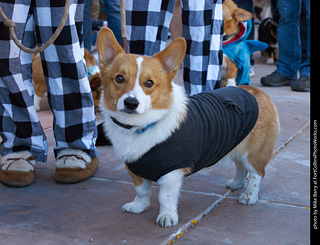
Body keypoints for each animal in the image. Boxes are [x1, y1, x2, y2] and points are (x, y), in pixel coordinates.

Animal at [97, 27, 280, 228]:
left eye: (149, 83)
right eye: (119, 78)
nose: (131, 103)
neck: (140, 126)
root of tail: (257, 92)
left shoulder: (172, 172)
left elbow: (165, 197)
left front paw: (167, 216)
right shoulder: (135, 167)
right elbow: (141, 190)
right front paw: (138, 206)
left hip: (254, 153)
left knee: (257, 173)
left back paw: (249, 195)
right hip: (237, 145)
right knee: (241, 167)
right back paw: (237, 183)